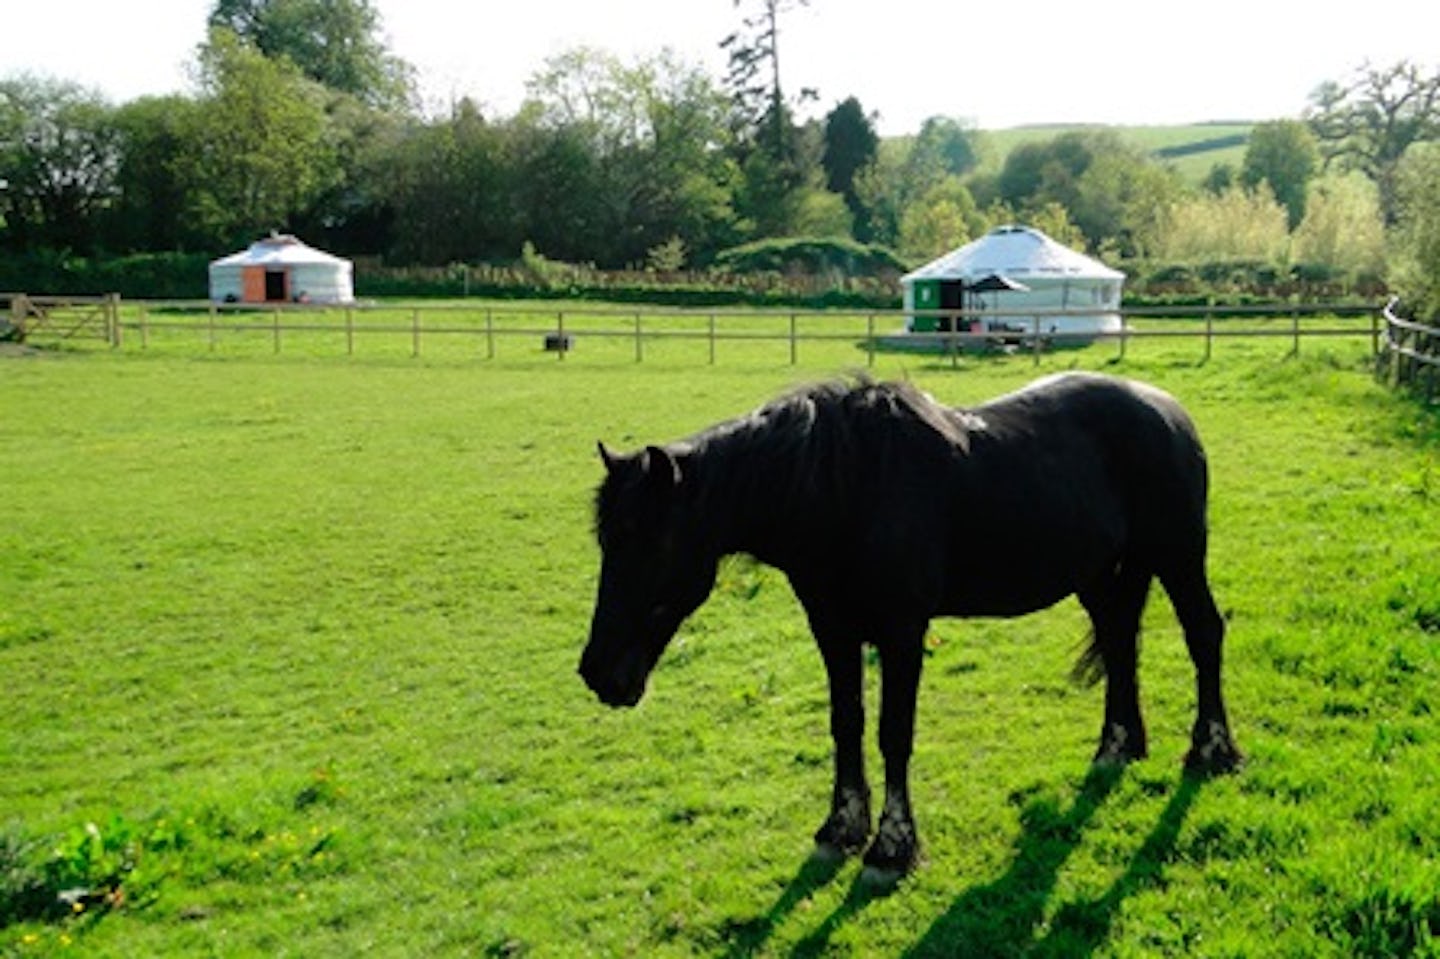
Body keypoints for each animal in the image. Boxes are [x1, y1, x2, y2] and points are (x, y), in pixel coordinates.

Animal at [578, 371, 1244, 875]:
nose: (599, 674)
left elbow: (893, 733)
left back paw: (1213, 750)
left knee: (1203, 635)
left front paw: (892, 846)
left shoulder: (902, 632)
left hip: (1179, 555)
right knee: (1120, 638)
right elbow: (846, 724)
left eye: (649, 542)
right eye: (607, 540)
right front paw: (841, 827)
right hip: (1101, 573)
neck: (846, 492)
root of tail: (1167, 409)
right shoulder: (833, 630)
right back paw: (1117, 746)